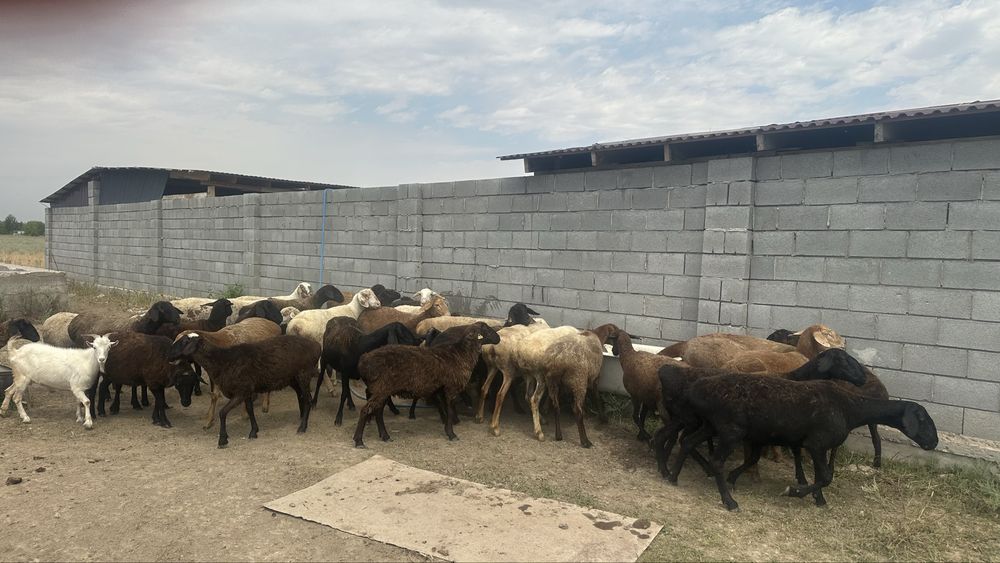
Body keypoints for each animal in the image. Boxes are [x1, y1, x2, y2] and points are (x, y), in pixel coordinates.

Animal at [167, 331, 319, 448]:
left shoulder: (240, 392)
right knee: (301, 396)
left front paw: (223, 439)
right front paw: (254, 431)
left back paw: (302, 427)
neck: (221, 361)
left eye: (184, 341)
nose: (169, 356)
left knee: (308, 399)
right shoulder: (247, 391)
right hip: (292, 378)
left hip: (303, 374)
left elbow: (222, 412)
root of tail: (316, 346)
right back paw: (302, 418)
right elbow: (250, 410)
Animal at [353, 322, 500, 447]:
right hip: (381, 388)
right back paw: (359, 440)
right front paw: (451, 434)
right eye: (486, 329)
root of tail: (363, 361)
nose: (498, 338)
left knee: (378, 411)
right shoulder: (451, 388)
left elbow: (446, 408)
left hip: (382, 390)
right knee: (366, 410)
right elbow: (450, 410)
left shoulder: (440, 389)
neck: (461, 353)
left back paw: (385, 436)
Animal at [667, 367, 937, 510]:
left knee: (688, 442)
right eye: (923, 420)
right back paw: (729, 501)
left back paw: (673, 477)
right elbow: (825, 477)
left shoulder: (820, 447)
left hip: (712, 426)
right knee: (716, 461)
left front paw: (818, 499)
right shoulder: (816, 444)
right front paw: (795, 491)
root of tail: (695, 390)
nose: (934, 443)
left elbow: (820, 476)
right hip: (730, 430)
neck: (850, 408)